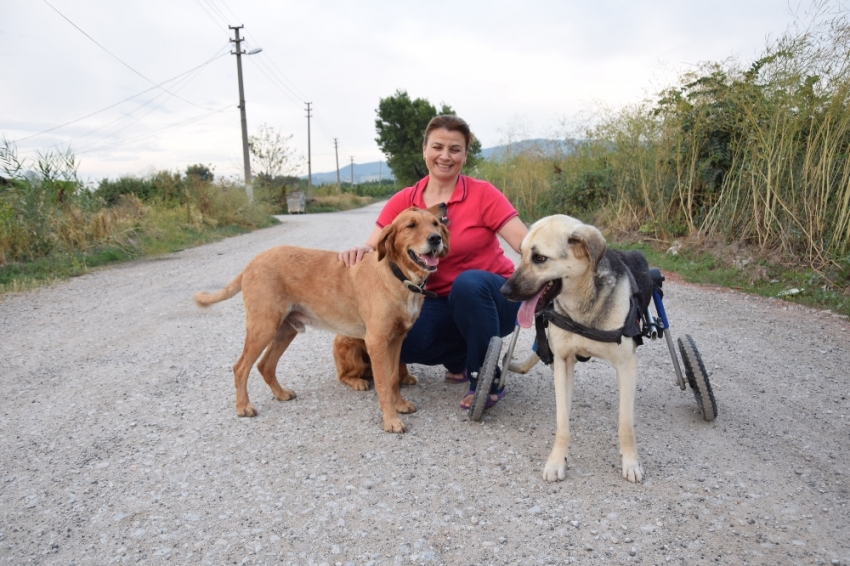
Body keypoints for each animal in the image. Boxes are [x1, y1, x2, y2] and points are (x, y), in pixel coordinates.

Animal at [190, 206, 444, 432]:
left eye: (435, 223)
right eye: (410, 225)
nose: (436, 238)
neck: (398, 276)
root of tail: (252, 262)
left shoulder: (396, 341)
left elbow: (392, 379)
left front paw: (399, 405)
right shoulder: (377, 343)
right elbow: (383, 384)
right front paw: (391, 420)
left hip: (285, 330)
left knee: (264, 365)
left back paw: (280, 394)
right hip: (263, 327)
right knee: (241, 367)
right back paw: (243, 406)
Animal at [496, 215, 648, 482]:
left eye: (539, 258)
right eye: (521, 253)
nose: (504, 291)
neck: (582, 310)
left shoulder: (627, 366)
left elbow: (625, 424)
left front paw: (630, 462)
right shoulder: (563, 363)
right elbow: (562, 423)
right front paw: (556, 461)